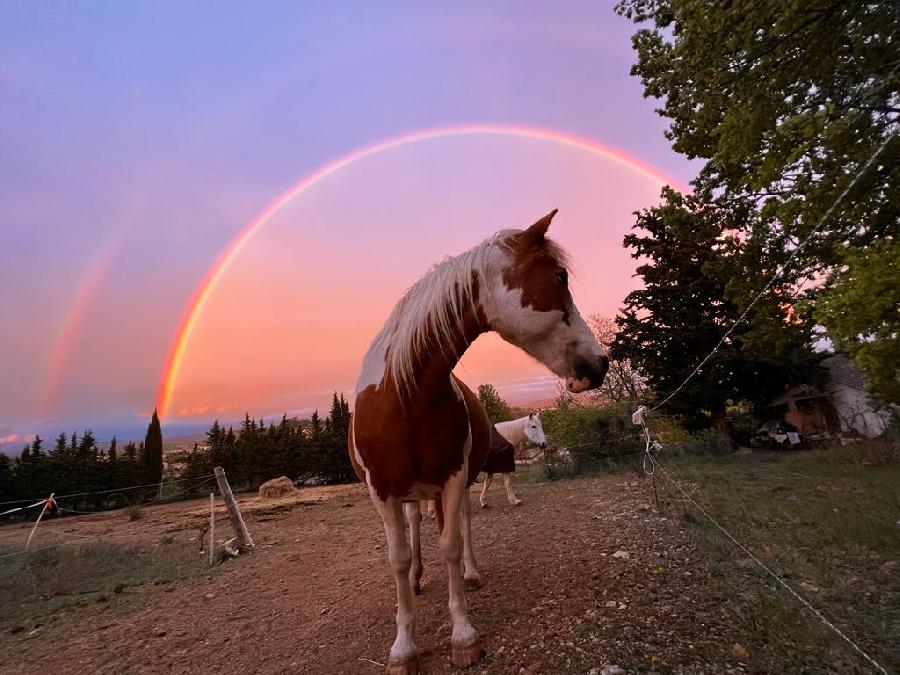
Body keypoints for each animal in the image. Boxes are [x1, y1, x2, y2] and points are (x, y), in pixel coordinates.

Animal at [348, 210, 608, 672]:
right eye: (559, 276)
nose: (600, 363)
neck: (404, 396)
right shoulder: (382, 490)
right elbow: (398, 558)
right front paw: (403, 646)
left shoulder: (453, 477)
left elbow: (451, 543)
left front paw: (463, 635)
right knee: (414, 528)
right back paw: (417, 577)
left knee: (463, 525)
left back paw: (468, 574)